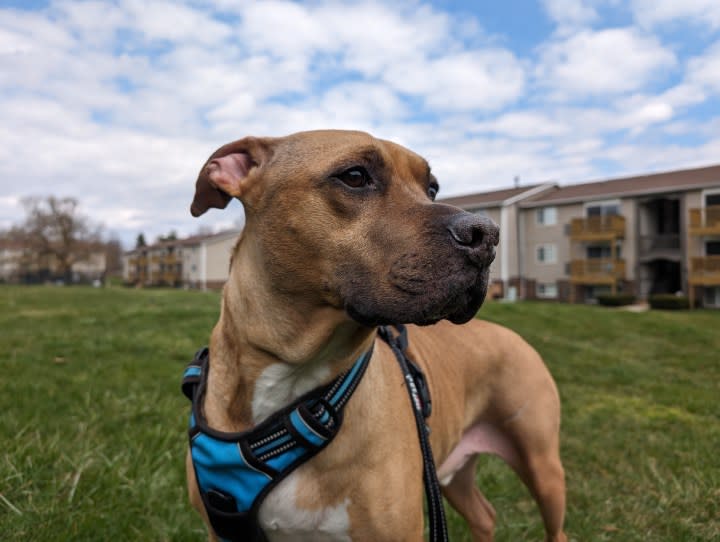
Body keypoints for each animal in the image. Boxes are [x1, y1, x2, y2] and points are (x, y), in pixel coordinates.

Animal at [187, 130, 568, 540]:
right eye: (354, 176)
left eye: (431, 188)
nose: (486, 234)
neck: (292, 374)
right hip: (452, 471)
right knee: (484, 514)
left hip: (542, 465)